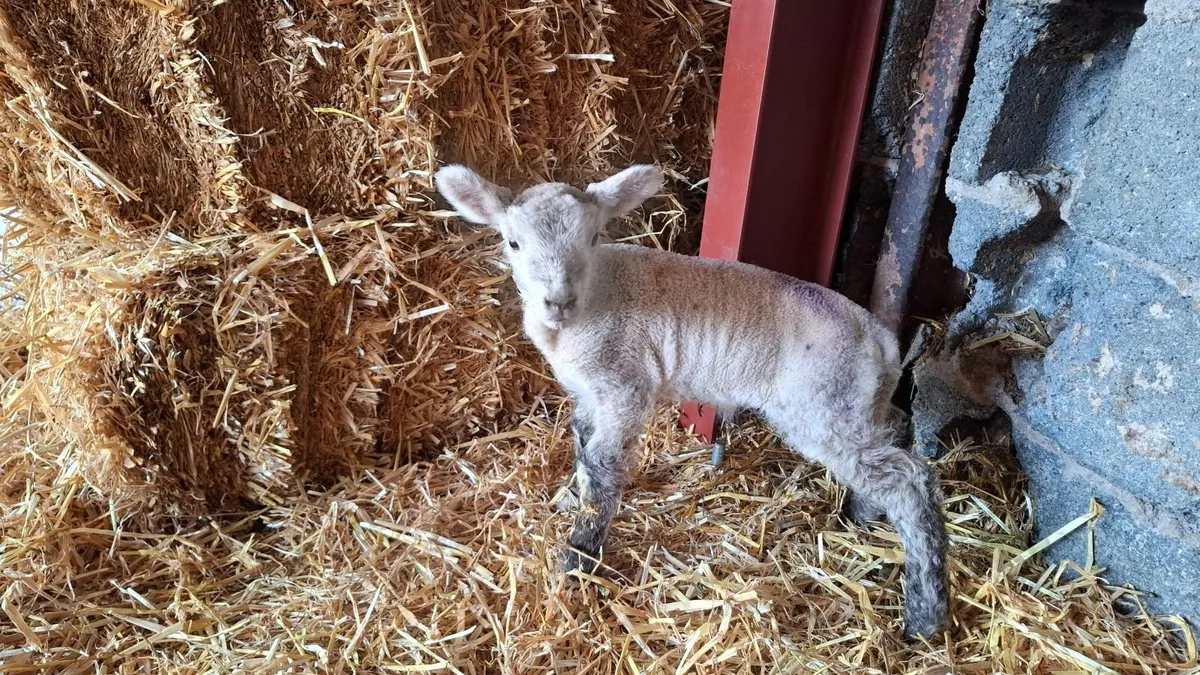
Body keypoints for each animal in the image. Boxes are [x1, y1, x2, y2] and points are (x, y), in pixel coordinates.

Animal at [434, 163, 949, 639]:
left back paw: (925, 613)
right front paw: (570, 498)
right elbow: (581, 441)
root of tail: (881, 339)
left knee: (908, 480)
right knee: (891, 440)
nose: (557, 302)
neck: (595, 299)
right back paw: (865, 515)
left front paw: (579, 557)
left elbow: (603, 464)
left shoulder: (624, 385)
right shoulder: (592, 392)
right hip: (858, 404)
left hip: (822, 407)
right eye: (513, 243)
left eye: (595, 236)